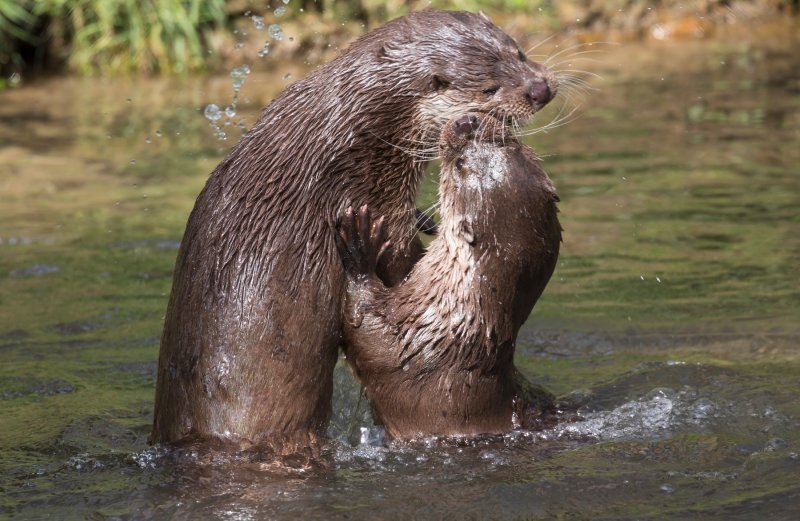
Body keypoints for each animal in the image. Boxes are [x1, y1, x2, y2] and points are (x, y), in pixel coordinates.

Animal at [338, 114, 564, 438]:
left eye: (459, 164)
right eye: (508, 142)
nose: (467, 121)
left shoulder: (407, 345)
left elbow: (361, 324)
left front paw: (360, 246)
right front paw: (421, 219)